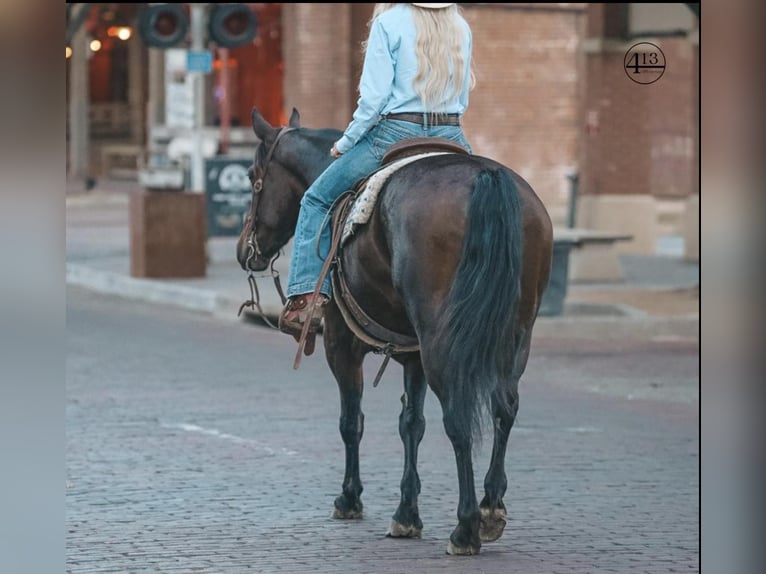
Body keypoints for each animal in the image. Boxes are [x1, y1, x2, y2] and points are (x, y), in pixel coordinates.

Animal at [237, 108, 556, 560]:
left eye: (252, 177)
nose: (244, 250)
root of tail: (487, 177)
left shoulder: (341, 343)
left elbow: (351, 421)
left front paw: (350, 498)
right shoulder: (413, 352)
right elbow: (411, 424)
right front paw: (407, 513)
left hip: (444, 342)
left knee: (458, 418)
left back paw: (466, 529)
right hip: (515, 336)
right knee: (504, 408)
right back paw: (491, 509)